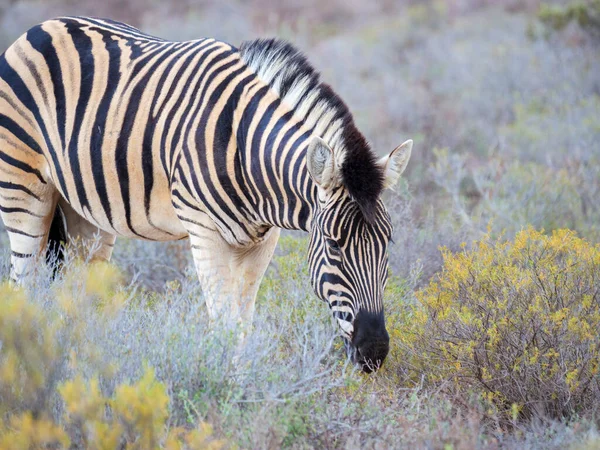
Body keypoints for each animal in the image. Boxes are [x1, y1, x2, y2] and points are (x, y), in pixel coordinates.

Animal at [0, 17, 412, 370]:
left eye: (388, 242)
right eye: (333, 245)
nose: (374, 352)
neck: (246, 152)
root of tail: (40, 27)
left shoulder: (262, 242)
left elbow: (243, 326)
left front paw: (241, 389)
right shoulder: (203, 232)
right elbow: (225, 325)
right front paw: (225, 393)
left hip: (85, 213)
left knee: (77, 294)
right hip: (22, 190)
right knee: (24, 286)